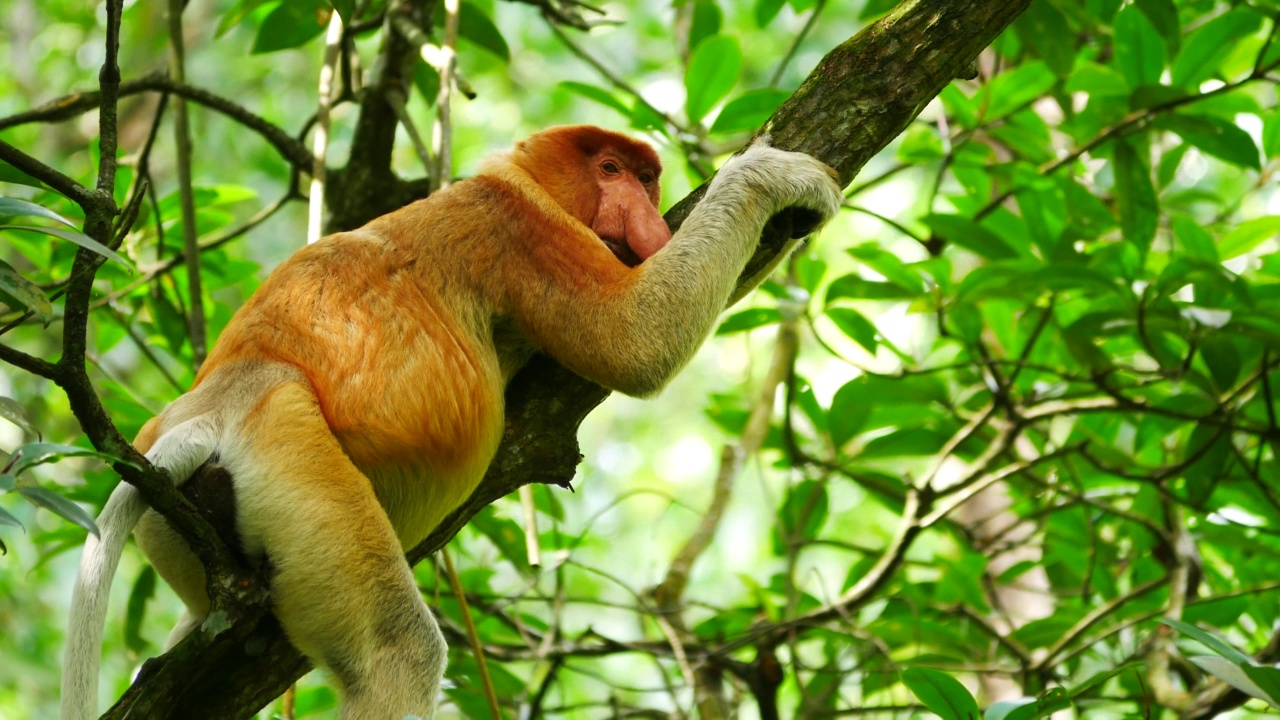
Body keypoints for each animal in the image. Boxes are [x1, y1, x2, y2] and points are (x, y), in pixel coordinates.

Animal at [62, 126, 839, 712]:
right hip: (288, 447)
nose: (641, 209)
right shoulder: (526, 230)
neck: (516, 177)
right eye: (611, 169)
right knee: (396, 652)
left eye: (648, 180)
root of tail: (220, 398)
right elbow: (634, 343)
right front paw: (773, 174)